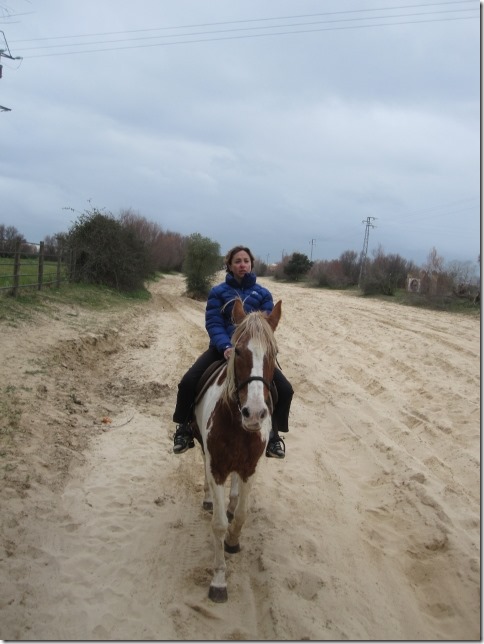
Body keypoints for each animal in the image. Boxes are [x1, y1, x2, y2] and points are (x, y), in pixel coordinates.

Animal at [191, 300, 282, 600]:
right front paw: (219, 581)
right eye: (238, 350)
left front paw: (233, 540)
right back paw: (210, 499)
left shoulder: (250, 468)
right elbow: (218, 524)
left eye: (274, 353)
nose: (254, 413)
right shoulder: (217, 466)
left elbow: (241, 514)